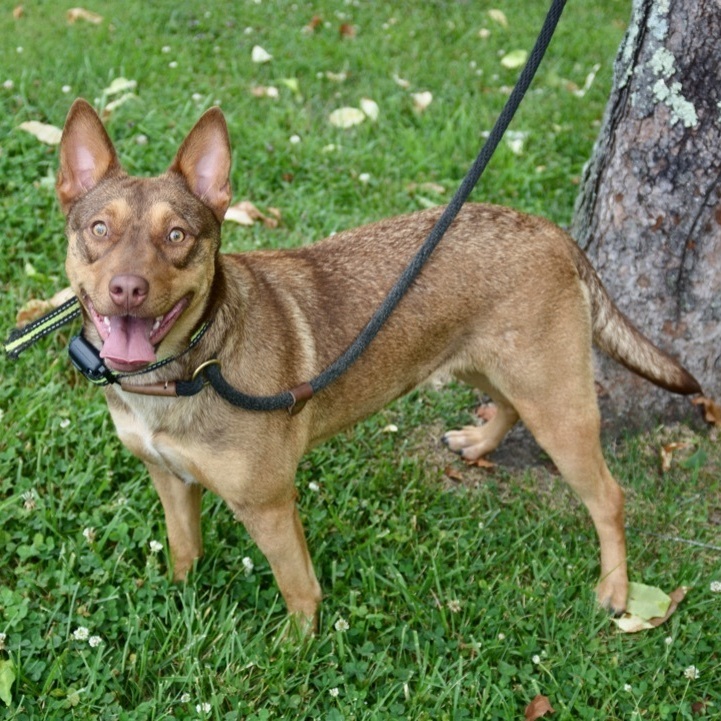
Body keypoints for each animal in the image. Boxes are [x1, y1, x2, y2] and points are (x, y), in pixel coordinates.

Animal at [57, 98, 704, 628]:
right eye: (98, 229)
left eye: (177, 236)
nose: (127, 289)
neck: (186, 370)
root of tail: (551, 232)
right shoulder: (168, 479)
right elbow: (185, 550)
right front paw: (179, 595)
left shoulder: (269, 507)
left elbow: (300, 591)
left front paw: (298, 652)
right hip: (484, 363)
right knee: (507, 406)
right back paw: (480, 443)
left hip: (558, 407)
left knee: (609, 499)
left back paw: (615, 590)